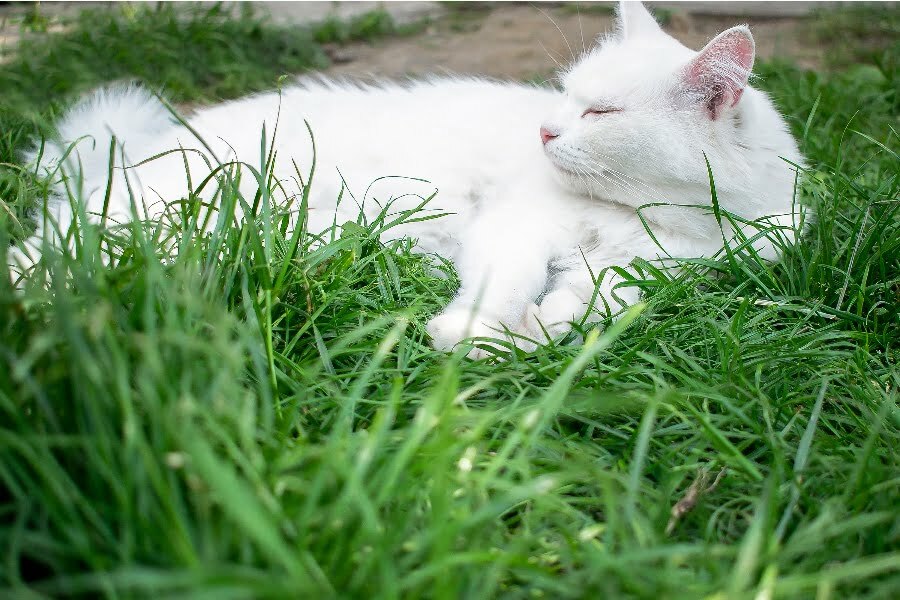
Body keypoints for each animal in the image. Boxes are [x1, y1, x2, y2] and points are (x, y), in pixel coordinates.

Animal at [12, 1, 800, 356]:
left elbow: (596, 301)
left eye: (600, 111)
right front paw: (474, 332)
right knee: (44, 252)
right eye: (565, 95)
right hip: (167, 217)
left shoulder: (664, 272)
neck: (648, 217)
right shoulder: (515, 227)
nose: (545, 133)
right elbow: (505, 285)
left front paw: (536, 332)